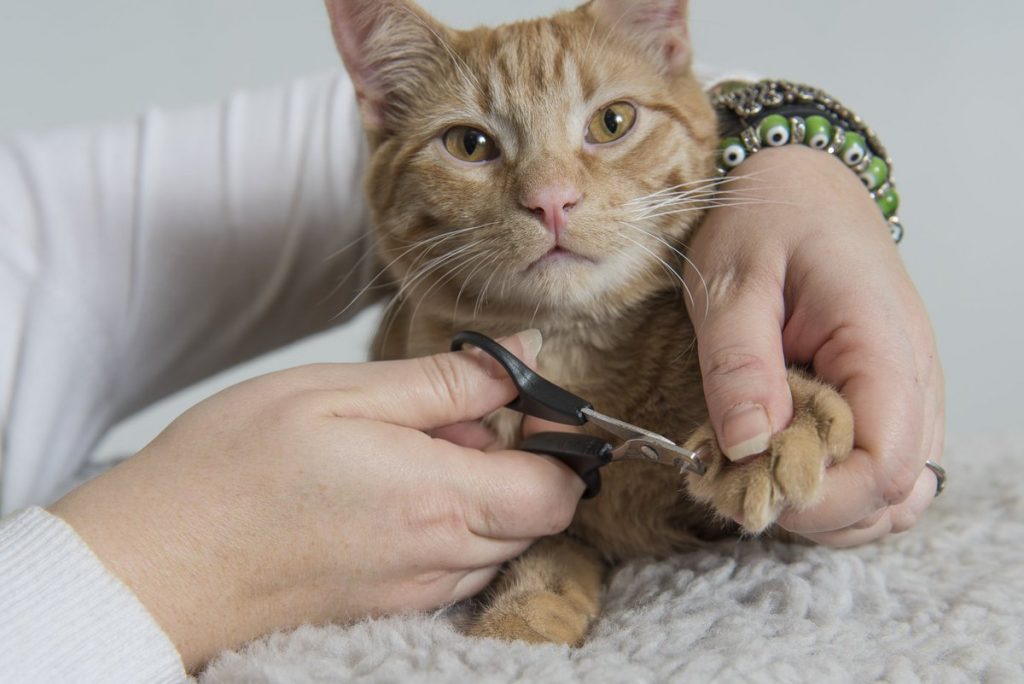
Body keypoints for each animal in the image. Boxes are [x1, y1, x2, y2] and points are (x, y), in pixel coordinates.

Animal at [323, 0, 851, 643]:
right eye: (469, 144)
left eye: (612, 122)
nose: (552, 199)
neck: (570, 360)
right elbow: (546, 562)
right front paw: (519, 626)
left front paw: (781, 430)